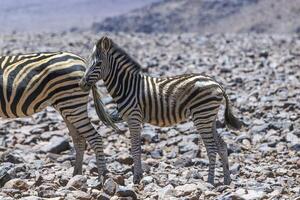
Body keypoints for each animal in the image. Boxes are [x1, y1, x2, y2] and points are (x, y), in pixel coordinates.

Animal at [0, 51, 119, 184]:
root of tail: (82, 61)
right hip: (68, 106)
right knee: (79, 139)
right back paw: (76, 176)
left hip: (71, 104)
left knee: (95, 137)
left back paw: (102, 176)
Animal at [78, 36, 243, 186]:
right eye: (87, 62)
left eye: (98, 64)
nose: (81, 83)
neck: (126, 86)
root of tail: (216, 83)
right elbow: (137, 148)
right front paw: (139, 176)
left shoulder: (133, 118)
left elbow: (135, 148)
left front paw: (136, 178)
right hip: (209, 118)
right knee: (222, 145)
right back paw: (227, 180)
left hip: (202, 116)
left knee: (212, 148)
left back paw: (209, 181)